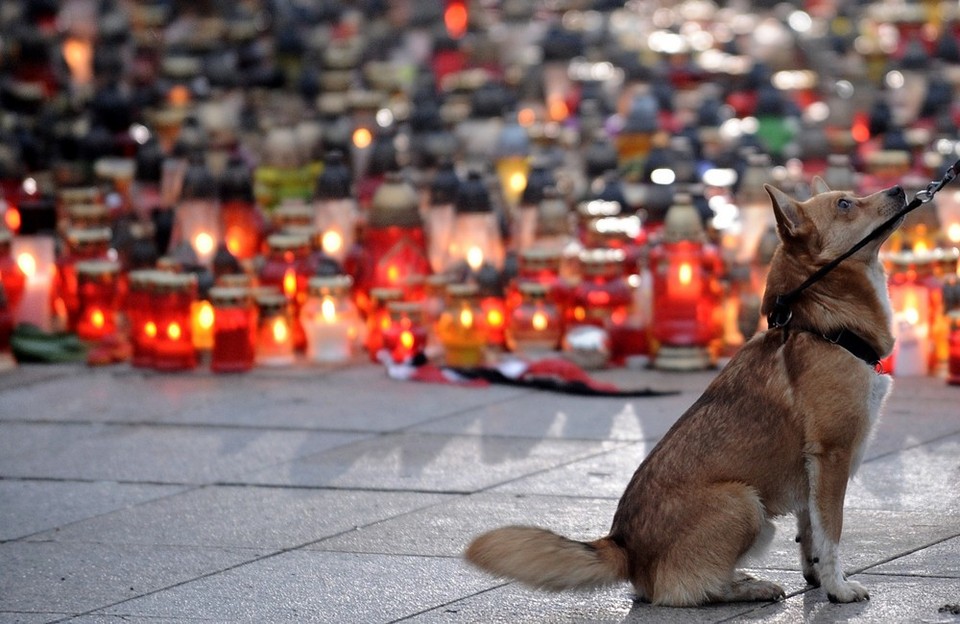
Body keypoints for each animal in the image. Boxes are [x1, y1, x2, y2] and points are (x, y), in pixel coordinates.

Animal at [466, 179, 908, 604]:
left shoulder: (811, 470)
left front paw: (817, 580)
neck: (819, 326)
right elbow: (830, 532)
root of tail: (623, 547)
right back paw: (745, 588)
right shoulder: (832, 455)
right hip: (744, 503)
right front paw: (838, 589)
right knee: (683, 591)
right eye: (844, 204)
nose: (900, 190)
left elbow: (810, 533)